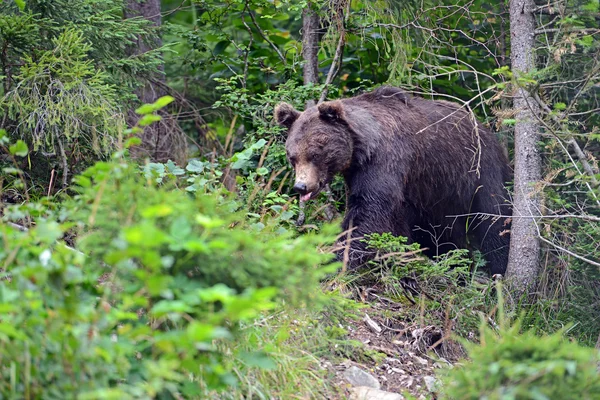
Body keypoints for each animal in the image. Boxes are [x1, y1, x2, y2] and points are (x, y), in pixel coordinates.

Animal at [274, 86, 512, 276]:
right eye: (292, 157)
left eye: (315, 153)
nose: (301, 186)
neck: (363, 147)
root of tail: (486, 128)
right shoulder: (360, 173)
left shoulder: (387, 161)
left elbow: (369, 212)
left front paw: (333, 260)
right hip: (439, 191)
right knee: (444, 234)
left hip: (480, 169)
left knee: (494, 218)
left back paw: (497, 271)